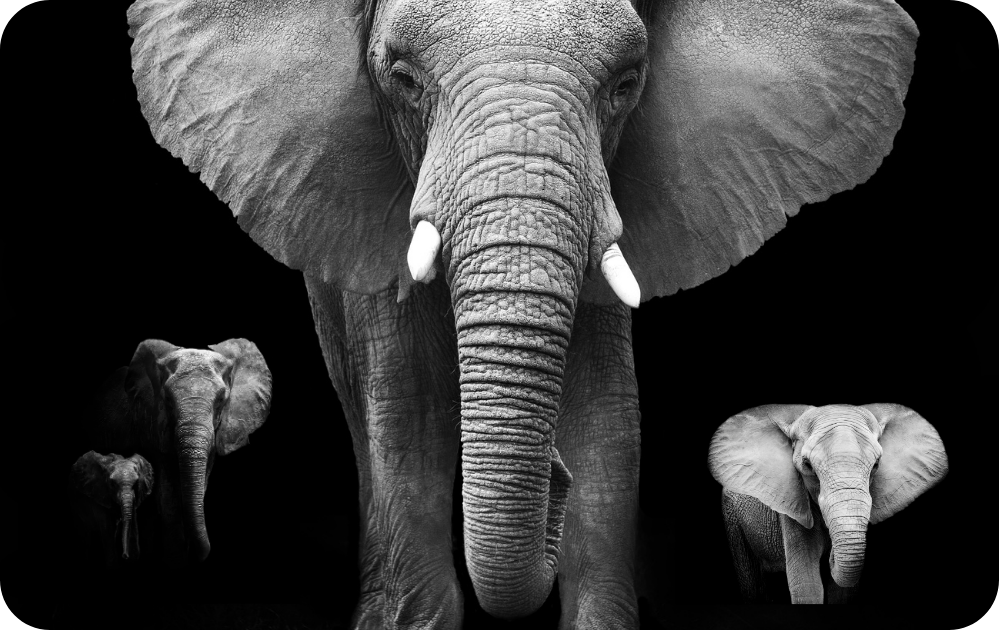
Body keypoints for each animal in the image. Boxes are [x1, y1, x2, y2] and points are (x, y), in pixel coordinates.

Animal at [708, 403, 948, 604]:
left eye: (877, 465)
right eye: (807, 465)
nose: (831, 555)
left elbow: (841, 593)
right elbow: (807, 584)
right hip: (731, 516)